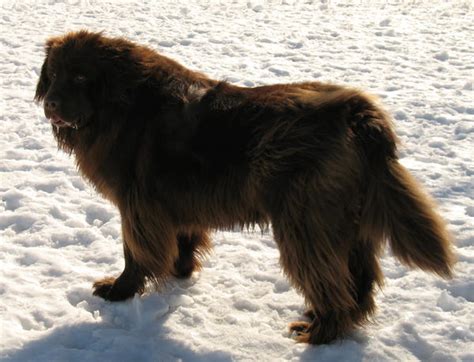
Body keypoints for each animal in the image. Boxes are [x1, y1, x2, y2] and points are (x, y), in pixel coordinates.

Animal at [34, 31, 456, 346]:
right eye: (53, 74)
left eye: (81, 77)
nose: (51, 103)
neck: (118, 105)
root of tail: (358, 113)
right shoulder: (173, 202)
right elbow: (183, 241)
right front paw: (181, 273)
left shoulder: (137, 206)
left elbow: (135, 253)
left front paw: (118, 290)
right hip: (347, 221)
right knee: (359, 280)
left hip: (305, 224)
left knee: (331, 283)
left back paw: (318, 333)